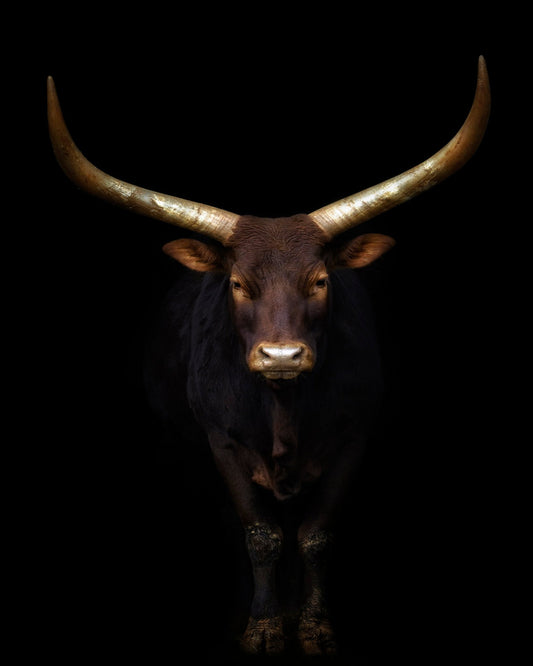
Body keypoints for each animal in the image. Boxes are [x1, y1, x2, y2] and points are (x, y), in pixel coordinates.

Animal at [47, 57, 490, 655]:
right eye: (237, 283)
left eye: (321, 280)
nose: (282, 355)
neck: (284, 411)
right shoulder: (221, 441)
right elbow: (261, 535)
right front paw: (262, 626)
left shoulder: (354, 437)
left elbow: (315, 535)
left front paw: (313, 626)